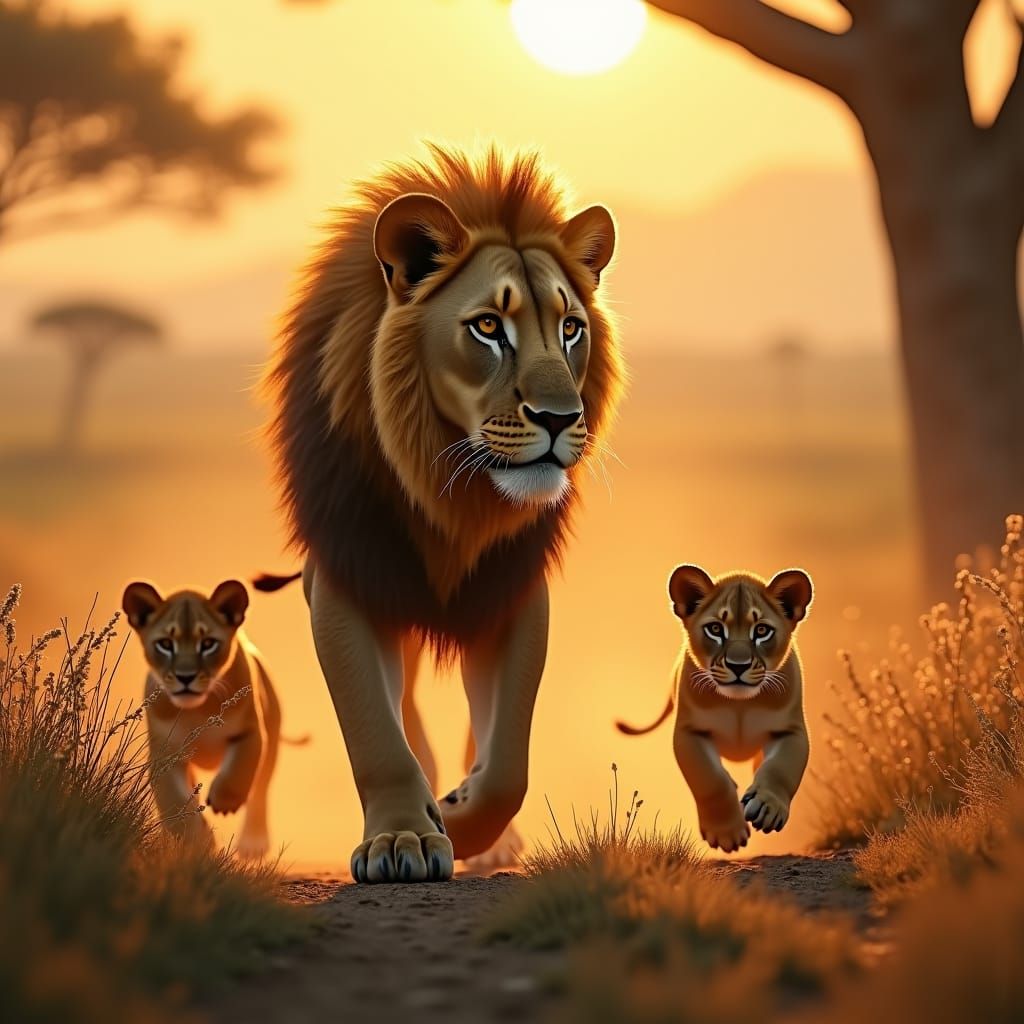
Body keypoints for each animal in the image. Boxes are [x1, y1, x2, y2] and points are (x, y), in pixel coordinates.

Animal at [123, 579, 289, 860]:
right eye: (165, 644)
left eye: (208, 643)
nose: (186, 677)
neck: (196, 711)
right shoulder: (165, 753)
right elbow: (174, 802)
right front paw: (199, 842)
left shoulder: (251, 732)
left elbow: (240, 769)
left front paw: (224, 803)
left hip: (272, 738)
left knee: (260, 787)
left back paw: (253, 842)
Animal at [257, 144, 624, 883]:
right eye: (488, 327)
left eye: (570, 327)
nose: (559, 418)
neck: (453, 490)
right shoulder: (345, 577)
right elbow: (376, 730)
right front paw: (403, 834)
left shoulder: (511, 588)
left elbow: (507, 762)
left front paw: (456, 816)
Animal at [617, 565, 813, 853]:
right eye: (715, 629)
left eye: (762, 630)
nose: (738, 665)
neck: (739, 705)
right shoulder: (690, 732)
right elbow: (710, 779)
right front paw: (726, 833)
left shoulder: (789, 730)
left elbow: (780, 768)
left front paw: (767, 808)